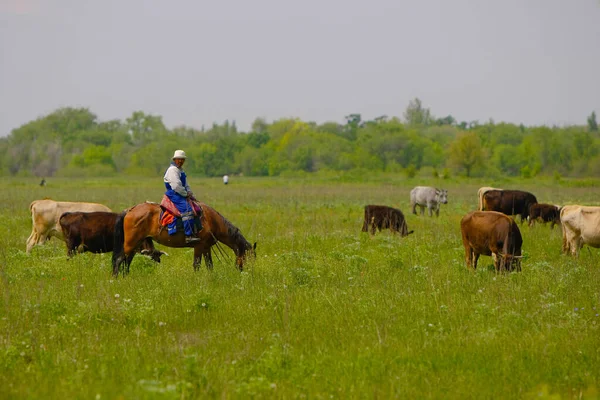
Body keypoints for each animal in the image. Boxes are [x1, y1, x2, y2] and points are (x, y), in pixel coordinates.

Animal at [112, 202, 255, 276]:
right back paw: (117, 278)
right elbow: (196, 264)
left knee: (127, 260)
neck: (211, 221)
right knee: (120, 259)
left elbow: (209, 264)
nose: (245, 272)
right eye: (248, 257)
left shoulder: (206, 247)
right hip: (131, 243)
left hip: (136, 243)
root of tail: (130, 210)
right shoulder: (198, 246)